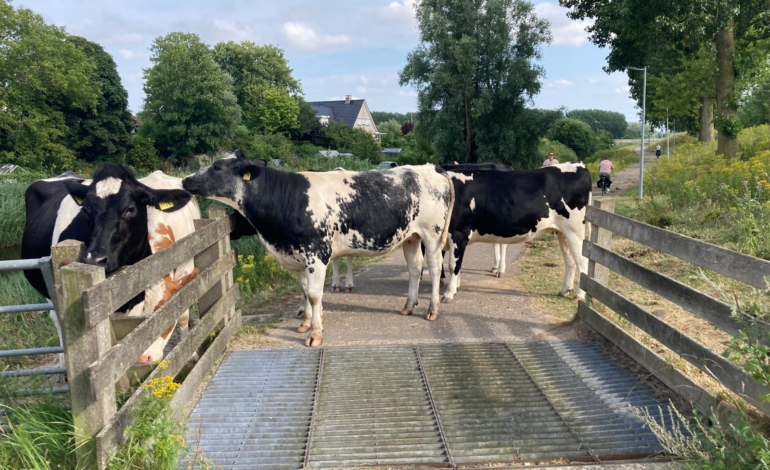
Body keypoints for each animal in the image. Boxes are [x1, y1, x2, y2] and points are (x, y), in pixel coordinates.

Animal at [22, 164, 200, 367]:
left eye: (130, 209)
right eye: (86, 211)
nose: (142, 358)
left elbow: (184, 312)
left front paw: (191, 352)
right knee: (57, 319)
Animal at [182, 152, 455, 347]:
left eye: (217, 167)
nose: (185, 180)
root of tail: (429, 167)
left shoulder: (317, 253)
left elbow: (314, 295)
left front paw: (314, 334)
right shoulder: (298, 255)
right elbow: (304, 291)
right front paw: (304, 323)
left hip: (432, 234)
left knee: (434, 268)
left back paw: (432, 309)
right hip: (411, 236)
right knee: (414, 268)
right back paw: (408, 306)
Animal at [441, 163, 592, 303]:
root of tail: (579, 165)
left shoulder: (458, 233)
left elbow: (453, 264)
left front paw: (449, 293)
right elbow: (457, 262)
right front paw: (455, 286)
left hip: (574, 231)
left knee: (582, 262)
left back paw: (579, 295)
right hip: (562, 232)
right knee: (570, 261)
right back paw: (565, 290)